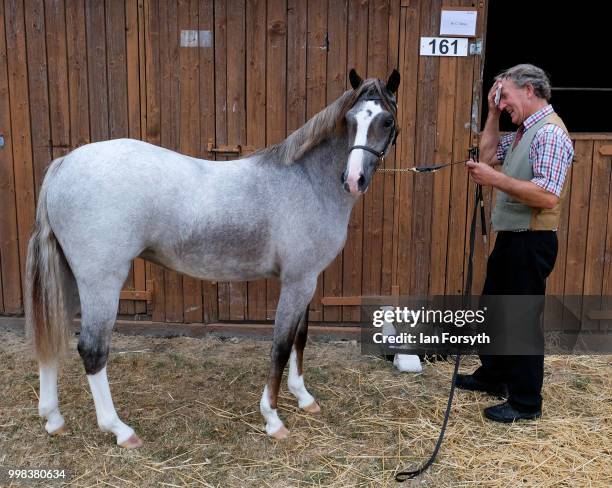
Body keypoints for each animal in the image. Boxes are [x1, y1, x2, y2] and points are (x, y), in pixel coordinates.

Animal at [25, 66, 402, 448]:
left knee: (54, 337)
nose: (354, 179)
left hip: (70, 278)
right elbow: (281, 346)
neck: (305, 181)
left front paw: (303, 398)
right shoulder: (297, 282)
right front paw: (272, 418)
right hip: (101, 282)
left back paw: (54, 419)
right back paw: (119, 429)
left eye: (386, 120)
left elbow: (300, 337)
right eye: (351, 119)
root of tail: (63, 165)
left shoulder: (307, 280)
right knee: (92, 350)